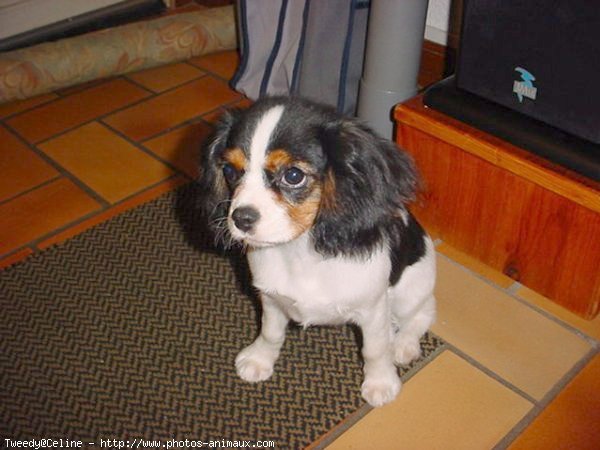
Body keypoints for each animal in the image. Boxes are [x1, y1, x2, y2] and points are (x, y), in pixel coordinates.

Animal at [198, 96, 436, 406]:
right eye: (229, 171)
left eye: (293, 175)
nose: (241, 218)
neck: (300, 250)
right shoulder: (271, 299)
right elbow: (270, 331)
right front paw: (260, 359)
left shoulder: (373, 309)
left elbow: (374, 349)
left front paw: (380, 382)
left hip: (411, 289)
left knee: (424, 312)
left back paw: (404, 344)